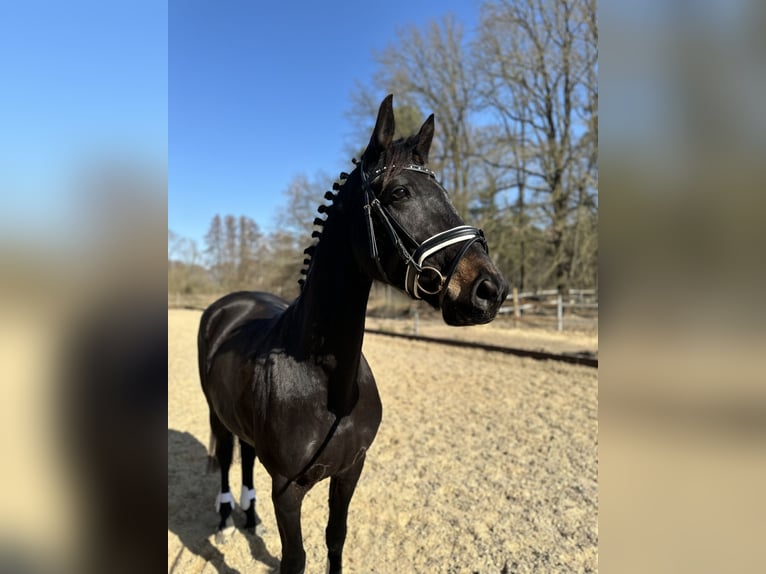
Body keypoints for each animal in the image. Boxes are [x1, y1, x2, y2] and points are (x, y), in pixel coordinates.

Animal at [198, 94, 509, 574]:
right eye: (399, 193)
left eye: (445, 193)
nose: (489, 290)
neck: (327, 383)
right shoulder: (287, 491)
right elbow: (296, 558)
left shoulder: (350, 471)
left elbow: (335, 537)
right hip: (217, 414)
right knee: (230, 458)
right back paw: (228, 520)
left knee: (247, 456)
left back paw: (250, 518)